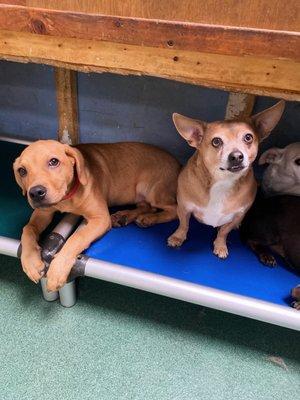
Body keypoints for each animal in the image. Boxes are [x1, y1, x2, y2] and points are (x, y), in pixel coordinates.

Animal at [14, 141, 180, 290]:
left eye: (54, 161)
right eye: (22, 171)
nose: (35, 193)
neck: (66, 199)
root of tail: (179, 165)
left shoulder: (100, 218)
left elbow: (77, 237)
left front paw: (57, 270)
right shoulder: (43, 212)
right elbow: (28, 228)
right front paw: (30, 261)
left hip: (152, 190)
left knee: (174, 210)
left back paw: (149, 219)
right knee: (146, 207)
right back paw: (125, 216)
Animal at [168, 99, 284, 256]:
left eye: (248, 137)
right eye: (216, 141)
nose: (237, 156)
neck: (222, 181)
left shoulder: (237, 215)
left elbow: (224, 231)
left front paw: (220, 246)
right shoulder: (184, 208)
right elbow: (183, 225)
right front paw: (177, 237)